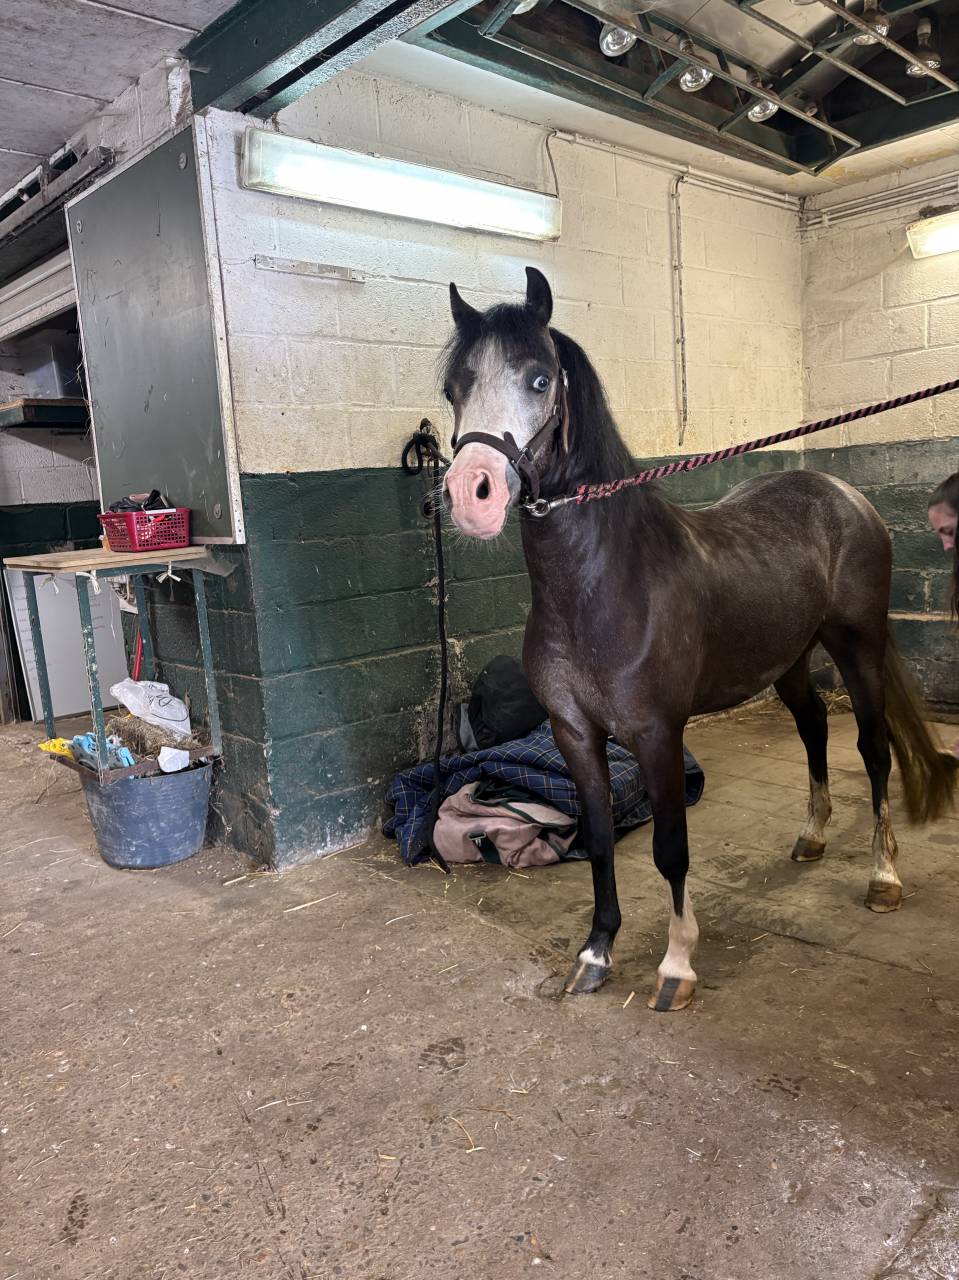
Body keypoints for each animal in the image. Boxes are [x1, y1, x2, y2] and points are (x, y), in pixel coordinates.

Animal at [441, 265, 958, 1013]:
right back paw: (811, 837)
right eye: (453, 387)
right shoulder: (573, 732)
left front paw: (676, 965)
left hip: (856, 646)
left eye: (539, 378)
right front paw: (595, 954)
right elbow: (601, 840)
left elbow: (669, 850)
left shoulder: (658, 733)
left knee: (872, 748)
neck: (603, 585)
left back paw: (882, 876)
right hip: (788, 659)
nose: (469, 494)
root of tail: (841, 493)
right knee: (811, 728)